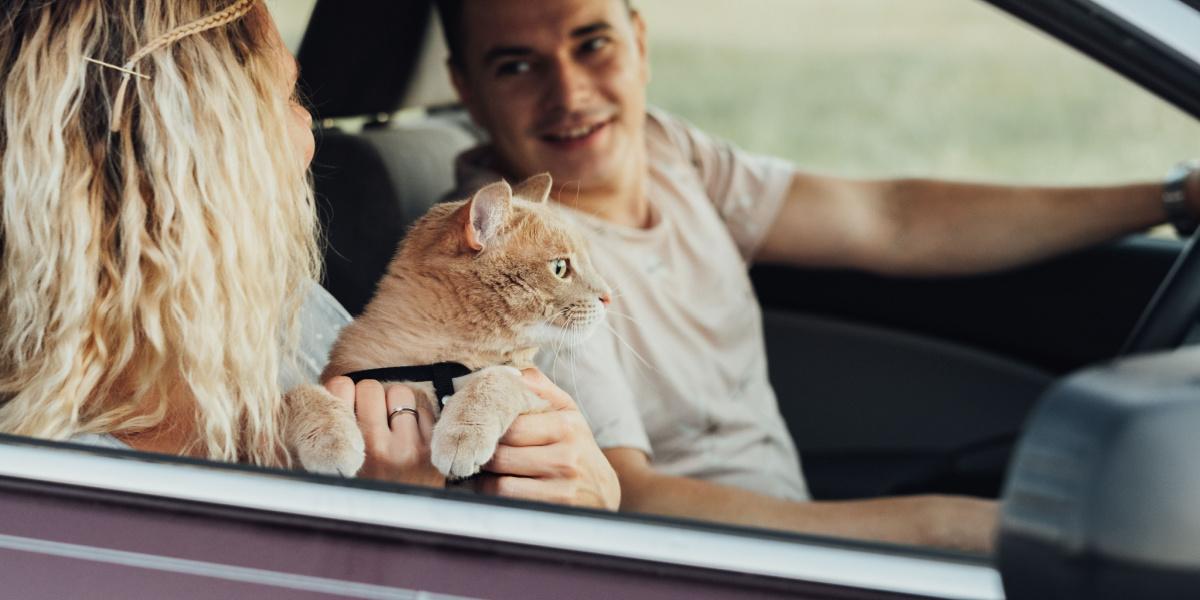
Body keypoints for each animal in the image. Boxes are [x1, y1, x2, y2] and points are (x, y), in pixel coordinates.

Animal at [286, 174, 614, 477]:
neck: (434, 362)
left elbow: (497, 379)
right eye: (560, 268)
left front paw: (462, 433)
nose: (608, 296)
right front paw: (330, 439)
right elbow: (294, 395)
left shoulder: (537, 400)